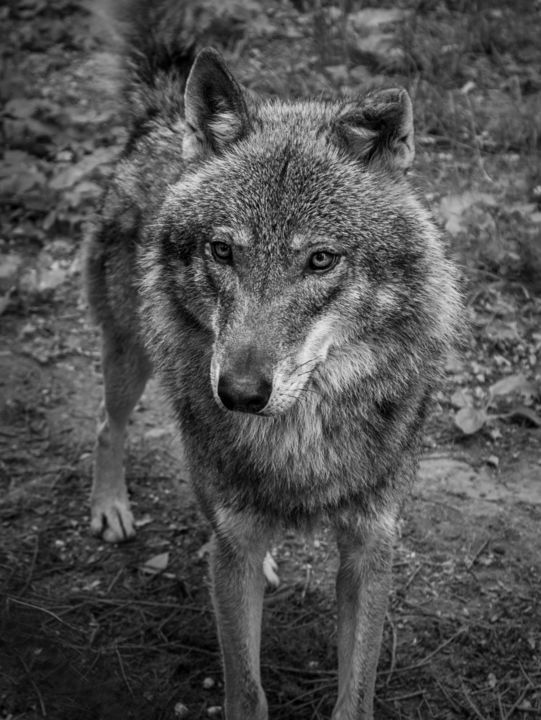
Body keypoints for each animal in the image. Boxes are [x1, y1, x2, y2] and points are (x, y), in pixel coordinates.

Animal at [86, 2, 458, 716]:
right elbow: (246, 689)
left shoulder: (371, 548)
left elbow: (355, 695)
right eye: (222, 251)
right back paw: (109, 506)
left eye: (321, 259)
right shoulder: (231, 550)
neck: (300, 436)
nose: (238, 393)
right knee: (107, 425)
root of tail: (161, 111)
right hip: (129, 357)